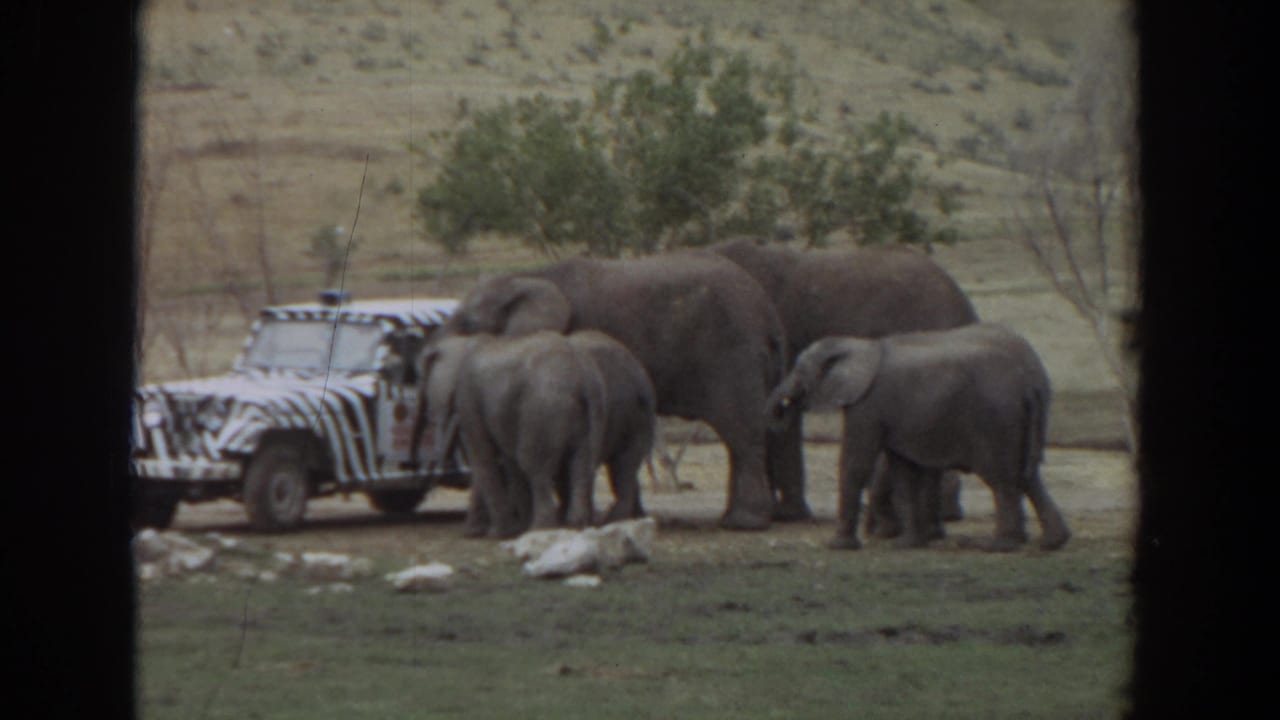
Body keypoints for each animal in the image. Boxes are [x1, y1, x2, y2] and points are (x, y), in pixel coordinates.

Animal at [415, 331, 607, 538]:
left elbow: (483, 457)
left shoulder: (468, 396)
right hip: (587, 414)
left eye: (423, 379)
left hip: (542, 409)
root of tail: (584, 375)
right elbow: (506, 459)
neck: (466, 341)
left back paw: (539, 528)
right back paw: (577, 524)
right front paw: (506, 529)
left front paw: (496, 533)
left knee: (534, 465)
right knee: (581, 462)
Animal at [442, 251, 789, 530]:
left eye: (467, 323)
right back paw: (733, 518)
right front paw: (631, 517)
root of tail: (768, 313)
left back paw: (745, 523)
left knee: (740, 432)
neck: (526, 278)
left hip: (732, 354)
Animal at [765, 323, 1071, 552]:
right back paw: (1052, 542)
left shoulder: (866, 404)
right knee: (1027, 476)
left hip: (997, 419)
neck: (858, 344)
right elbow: (902, 472)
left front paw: (838, 546)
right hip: (1022, 418)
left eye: (799, 372)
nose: (783, 408)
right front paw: (906, 544)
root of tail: (1030, 381)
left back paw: (999, 546)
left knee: (1001, 479)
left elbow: (856, 464)